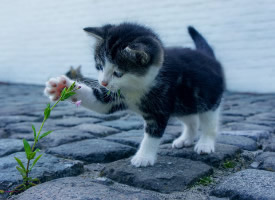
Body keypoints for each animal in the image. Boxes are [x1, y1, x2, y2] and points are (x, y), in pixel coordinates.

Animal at [44, 22, 224, 167]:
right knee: (191, 120)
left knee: (209, 123)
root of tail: (209, 57)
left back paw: (205, 144)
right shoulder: (114, 96)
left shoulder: (160, 106)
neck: (137, 86)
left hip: (208, 99)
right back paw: (186, 139)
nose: (103, 82)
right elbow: (99, 102)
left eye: (118, 73)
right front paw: (62, 87)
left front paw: (143, 157)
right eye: (99, 66)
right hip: (183, 103)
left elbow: (152, 134)